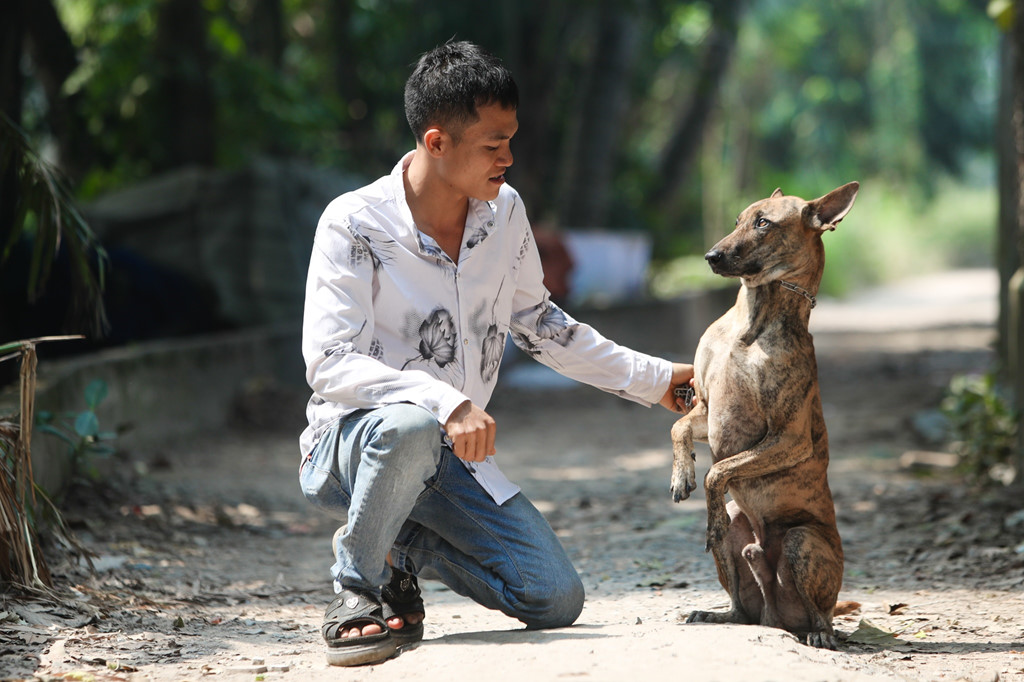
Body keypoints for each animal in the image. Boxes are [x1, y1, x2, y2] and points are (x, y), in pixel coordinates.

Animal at [671, 182, 856, 647]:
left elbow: (718, 473)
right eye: (739, 219)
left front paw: (702, 490)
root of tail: (777, 618)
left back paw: (821, 634)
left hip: (802, 542)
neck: (751, 323)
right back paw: (717, 612)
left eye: (764, 224)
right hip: (738, 541)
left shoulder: (788, 438)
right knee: (740, 607)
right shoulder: (705, 408)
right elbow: (678, 428)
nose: (711, 256)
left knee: (822, 615)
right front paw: (681, 474)